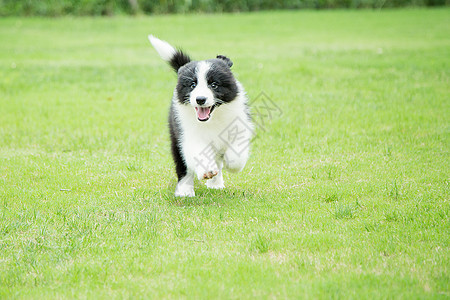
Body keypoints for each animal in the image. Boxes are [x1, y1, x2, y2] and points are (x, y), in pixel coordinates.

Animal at [149, 35, 251, 197]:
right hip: (176, 138)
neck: (212, 120)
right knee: (183, 166)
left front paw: (232, 164)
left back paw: (216, 184)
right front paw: (207, 170)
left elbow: (237, 153)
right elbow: (198, 152)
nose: (200, 99)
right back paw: (184, 191)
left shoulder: (240, 124)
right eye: (192, 85)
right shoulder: (189, 134)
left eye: (214, 85)